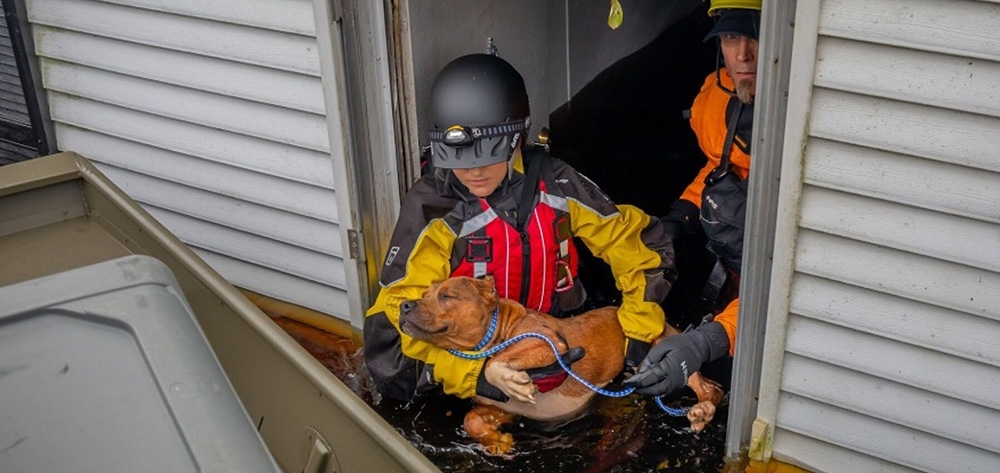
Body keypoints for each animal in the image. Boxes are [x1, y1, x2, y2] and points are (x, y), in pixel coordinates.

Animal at [396, 276, 720, 454]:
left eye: (447, 295)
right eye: (423, 294)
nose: (404, 304)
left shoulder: (548, 342)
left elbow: (496, 362)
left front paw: (513, 380)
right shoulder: (504, 408)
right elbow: (470, 420)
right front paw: (497, 442)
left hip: (661, 346)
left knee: (710, 387)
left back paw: (702, 410)